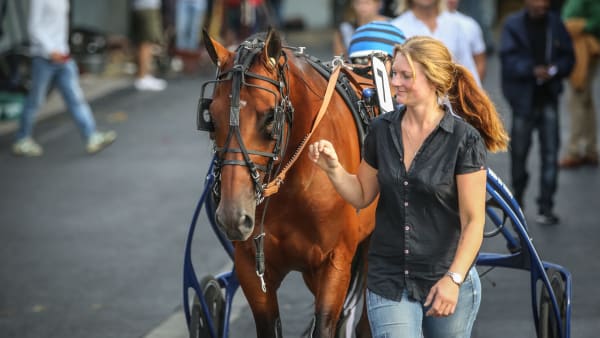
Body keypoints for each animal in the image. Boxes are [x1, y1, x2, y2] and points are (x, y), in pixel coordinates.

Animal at [202, 27, 378, 336]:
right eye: (211, 118)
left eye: (270, 117)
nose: (234, 216)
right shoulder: (251, 267)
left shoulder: (334, 263)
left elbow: (325, 324)